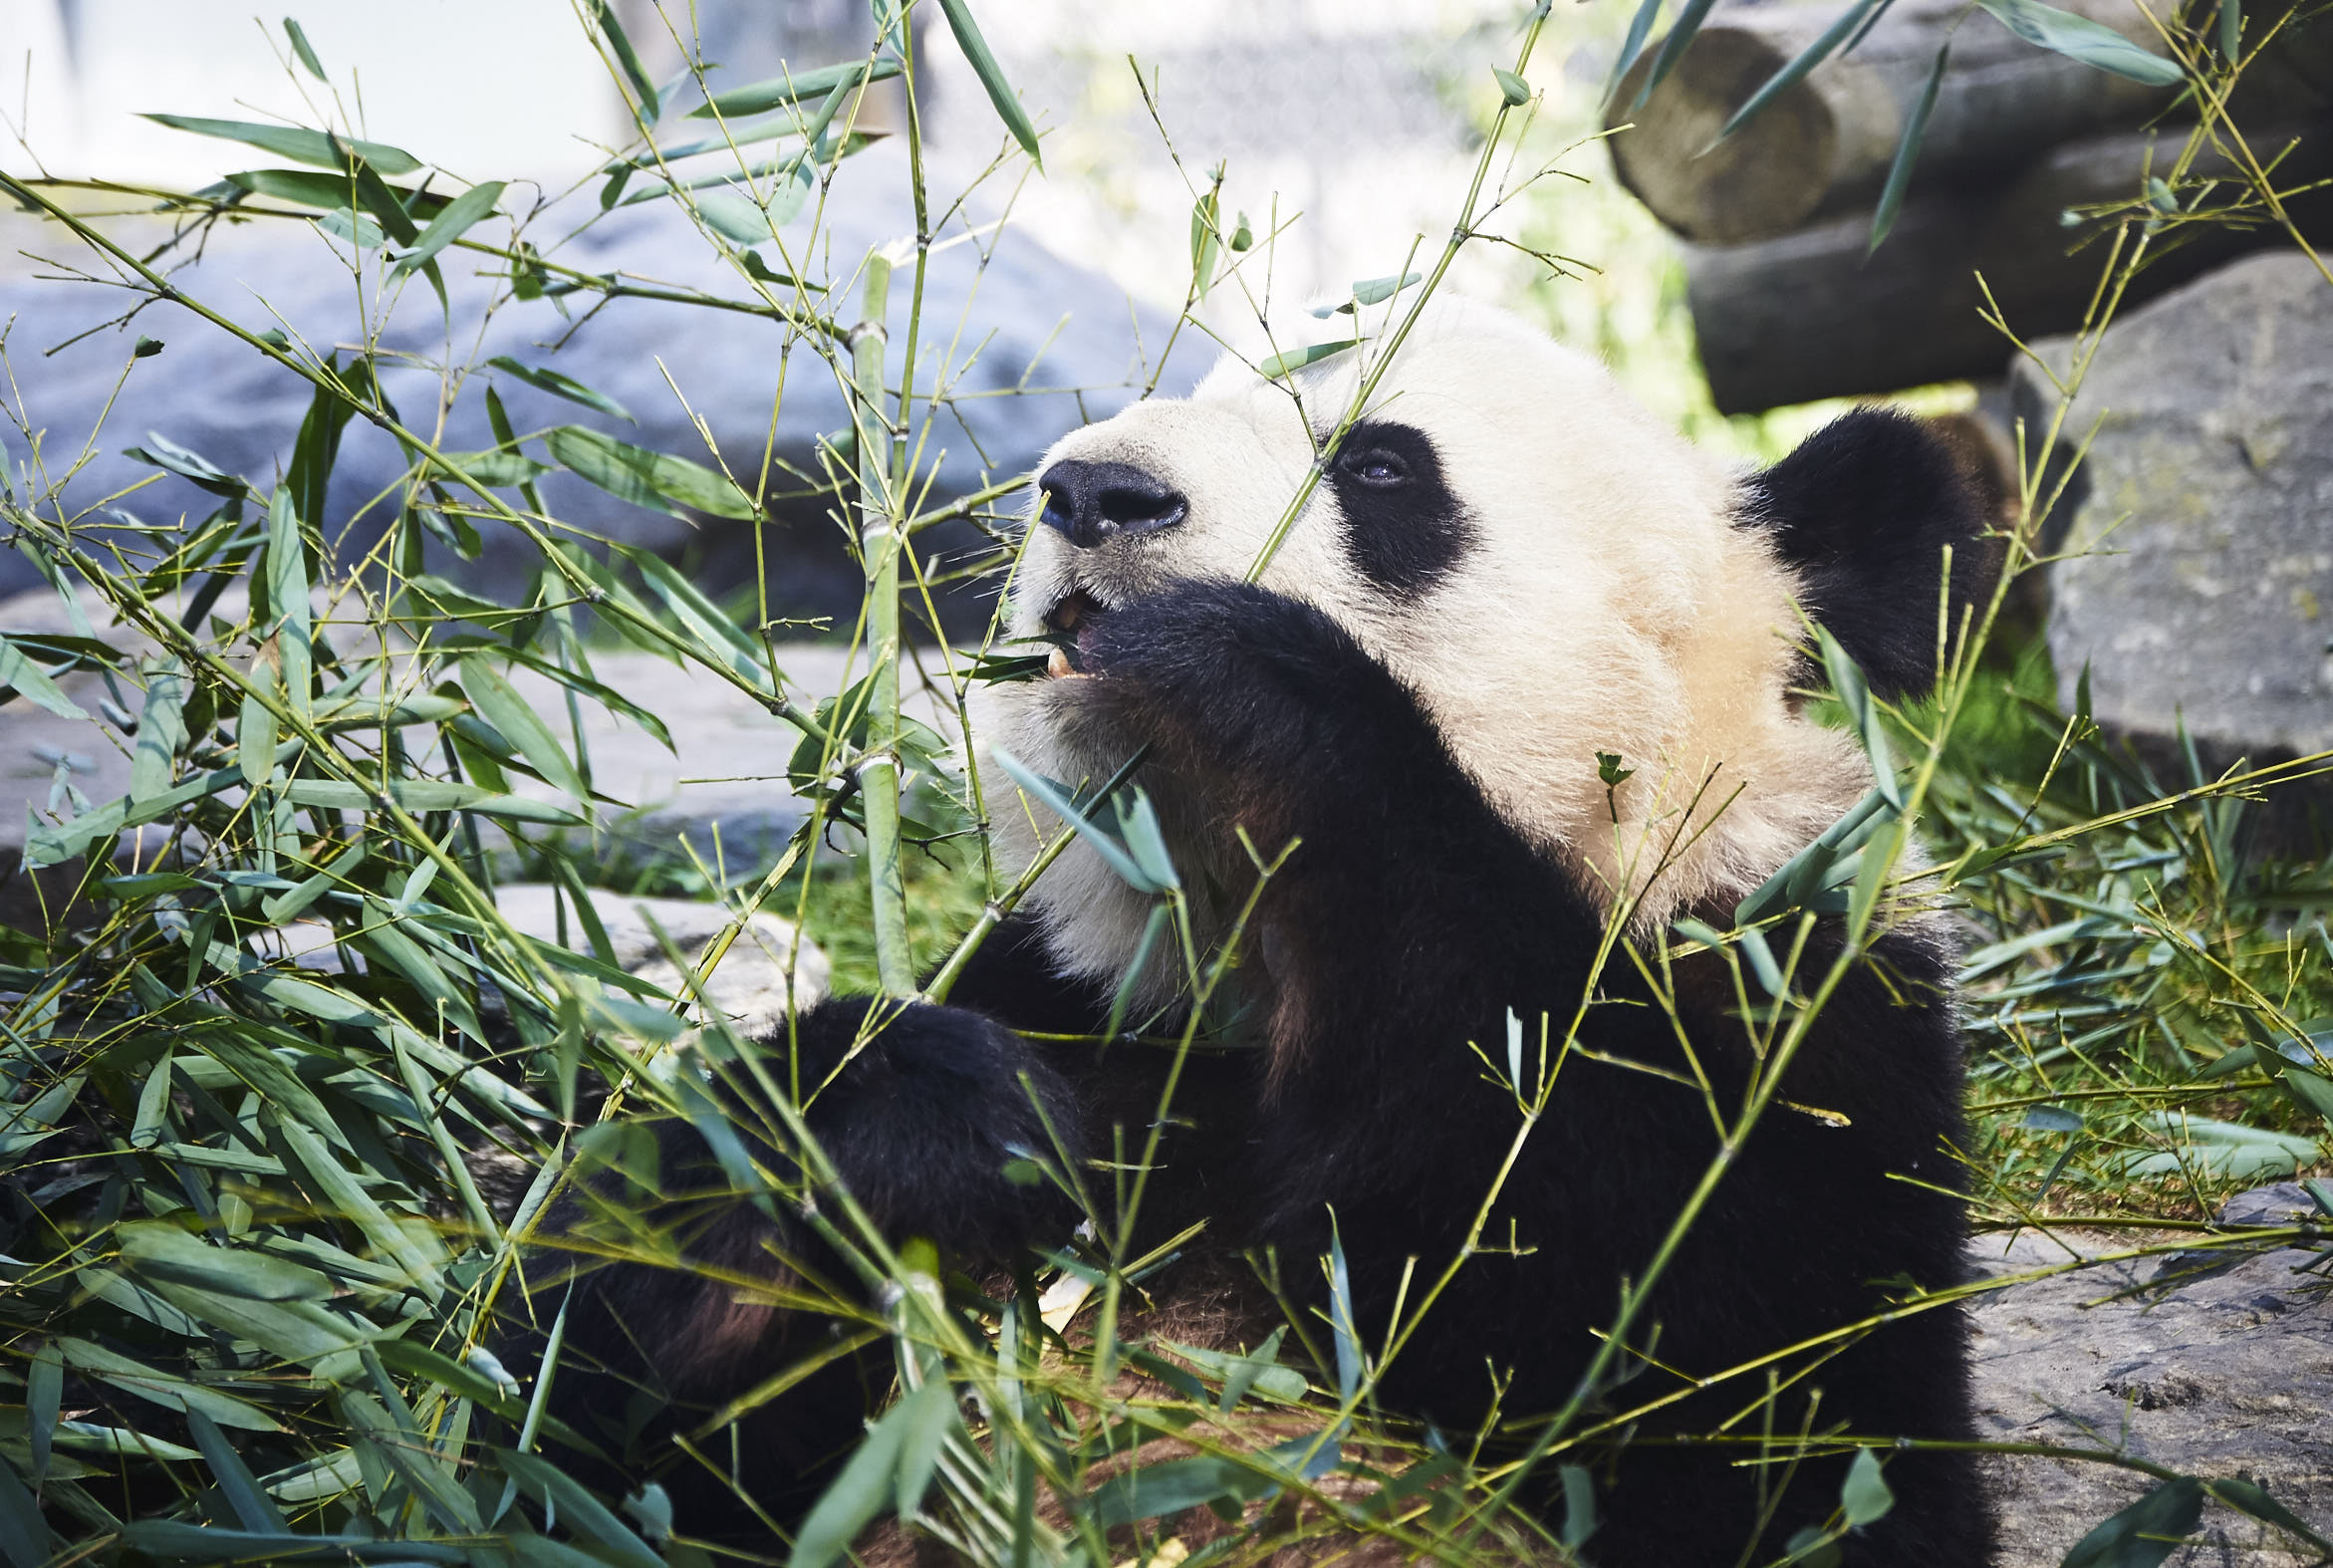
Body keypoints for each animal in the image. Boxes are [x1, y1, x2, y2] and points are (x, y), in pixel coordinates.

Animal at [550, 301, 2006, 1558]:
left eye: (1376, 464)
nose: (1092, 490)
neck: (1245, 988)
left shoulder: (1792, 1014)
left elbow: (1727, 1398)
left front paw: (1243, 678)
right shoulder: (1079, 1002)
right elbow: (584, 1402)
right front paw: (924, 1117)